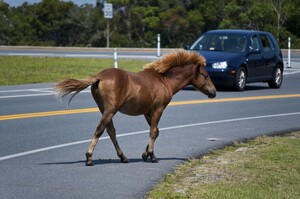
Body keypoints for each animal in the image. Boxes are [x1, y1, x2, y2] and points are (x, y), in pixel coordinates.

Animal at [55, 50, 216, 166]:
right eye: (205, 75)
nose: (214, 92)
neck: (164, 81)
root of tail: (99, 76)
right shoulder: (158, 109)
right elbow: (153, 132)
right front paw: (152, 156)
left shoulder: (147, 112)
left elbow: (156, 131)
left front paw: (145, 154)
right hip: (110, 110)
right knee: (100, 129)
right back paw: (89, 158)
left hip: (105, 109)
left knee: (111, 131)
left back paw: (123, 157)